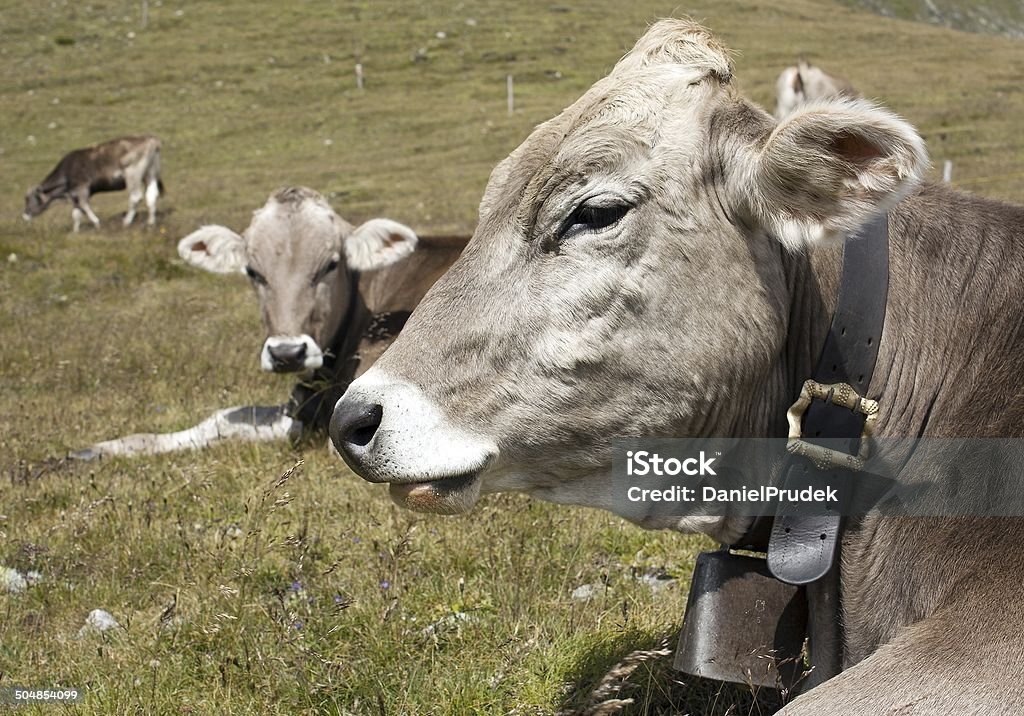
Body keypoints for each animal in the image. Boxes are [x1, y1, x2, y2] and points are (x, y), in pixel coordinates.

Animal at [23, 136, 163, 231]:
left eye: (29, 199)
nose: (24, 215)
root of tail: (151, 140)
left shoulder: (82, 188)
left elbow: (84, 206)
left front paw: (96, 222)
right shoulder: (74, 195)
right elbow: (76, 213)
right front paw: (75, 231)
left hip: (133, 174)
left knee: (135, 197)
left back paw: (127, 222)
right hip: (150, 174)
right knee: (151, 195)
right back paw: (151, 222)